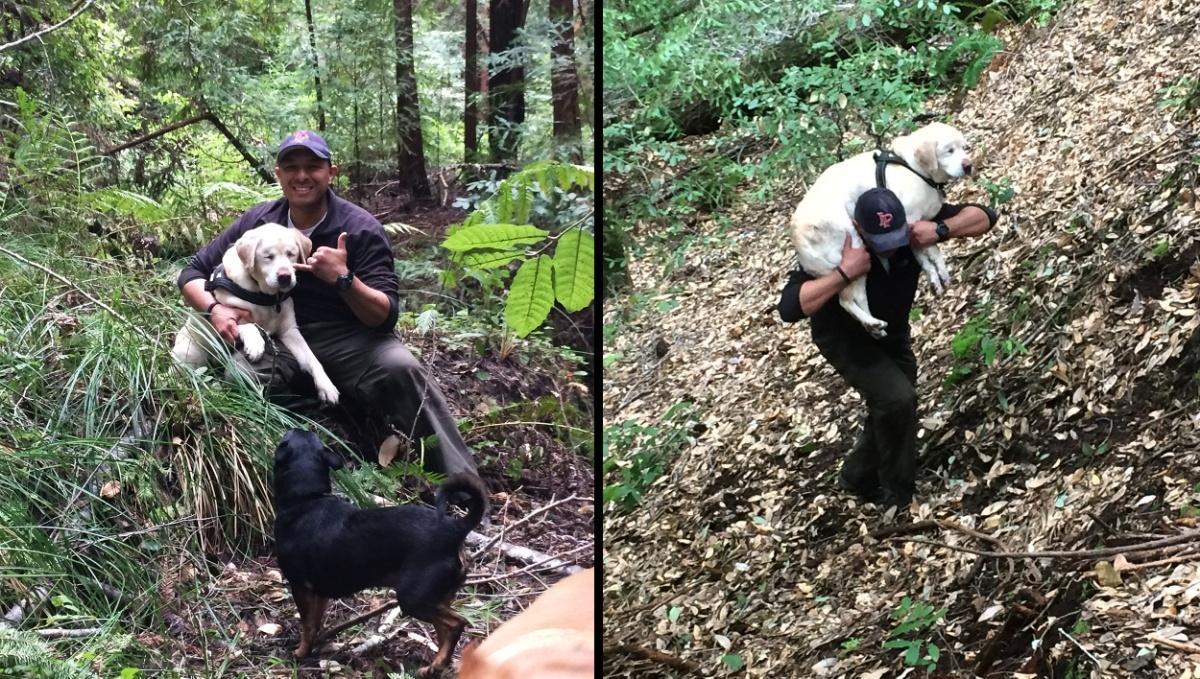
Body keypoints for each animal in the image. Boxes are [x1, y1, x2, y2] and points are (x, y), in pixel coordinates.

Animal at [169, 223, 340, 405]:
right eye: (268, 256)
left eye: (291, 254)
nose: (285, 277)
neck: (267, 297)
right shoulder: (226, 317)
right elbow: (248, 325)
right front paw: (256, 344)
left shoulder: (290, 331)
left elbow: (312, 359)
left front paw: (326, 386)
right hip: (189, 354)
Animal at [274, 431, 489, 676]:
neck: (307, 498)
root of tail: (455, 529)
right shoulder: (319, 592)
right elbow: (316, 622)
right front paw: (314, 647)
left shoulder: (299, 586)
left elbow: (307, 624)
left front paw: (300, 653)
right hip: (437, 597)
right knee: (444, 630)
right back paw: (436, 666)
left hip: (413, 598)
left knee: (456, 624)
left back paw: (437, 664)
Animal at [787, 122, 974, 340]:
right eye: (949, 150)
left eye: (965, 148)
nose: (968, 165)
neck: (913, 168)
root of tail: (797, 235)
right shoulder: (911, 222)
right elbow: (930, 251)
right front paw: (938, 273)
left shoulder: (918, 228)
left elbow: (926, 256)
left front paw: (936, 278)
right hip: (853, 248)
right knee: (846, 300)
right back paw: (872, 323)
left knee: (858, 298)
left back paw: (875, 327)